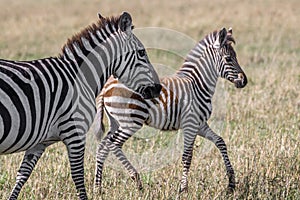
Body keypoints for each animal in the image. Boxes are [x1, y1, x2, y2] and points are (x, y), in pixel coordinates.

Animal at [0, 11, 162, 199]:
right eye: (142, 52)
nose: (158, 89)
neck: (80, 77)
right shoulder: (75, 132)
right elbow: (78, 176)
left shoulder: (40, 141)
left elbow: (23, 175)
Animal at [95, 27, 247, 193]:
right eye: (228, 59)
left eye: (235, 57)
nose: (244, 81)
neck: (197, 84)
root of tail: (106, 87)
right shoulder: (190, 124)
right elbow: (187, 156)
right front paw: (183, 189)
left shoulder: (200, 125)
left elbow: (220, 142)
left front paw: (231, 183)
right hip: (131, 121)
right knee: (113, 145)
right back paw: (137, 180)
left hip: (116, 122)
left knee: (103, 147)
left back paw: (98, 187)